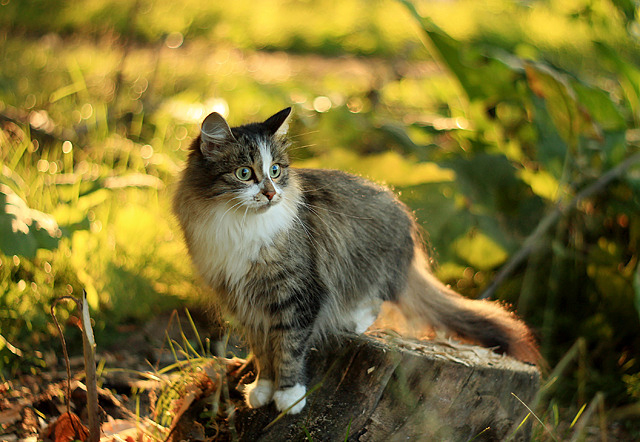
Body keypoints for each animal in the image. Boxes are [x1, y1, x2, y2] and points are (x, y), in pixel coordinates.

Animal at [172, 107, 536, 414]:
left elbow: (289, 347)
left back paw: (352, 321)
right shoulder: (244, 300)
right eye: (244, 173)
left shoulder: (298, 293)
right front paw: (263, 388)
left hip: (369, 269)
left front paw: (289, 395)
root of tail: (406, 224)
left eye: (275, 170)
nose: (271, 193)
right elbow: (263, 351)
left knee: (375, 301)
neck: (237, 223)